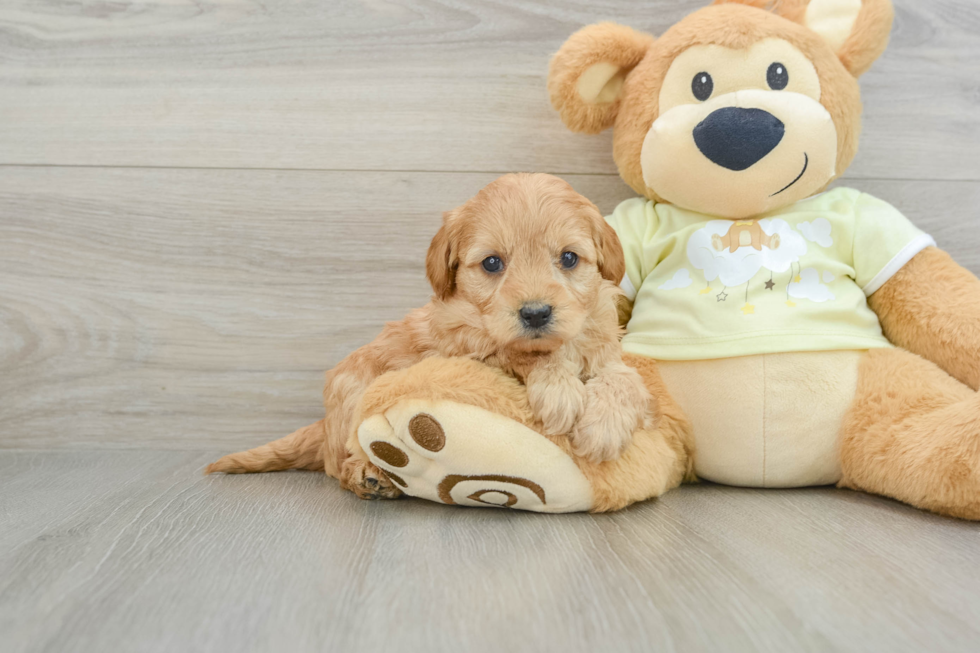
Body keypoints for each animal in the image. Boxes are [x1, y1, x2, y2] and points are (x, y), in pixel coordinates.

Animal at [207, 173, 652, 500]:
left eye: (569, 258)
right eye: (492, 263)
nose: (536, 313)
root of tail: (324, 421)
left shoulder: (606, 349)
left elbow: (626, 378)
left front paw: (606, 424)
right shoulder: (464, 346)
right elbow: (517, 352)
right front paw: (560, 389)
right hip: (353, 393)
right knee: (339, 461)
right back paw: (368, 473)